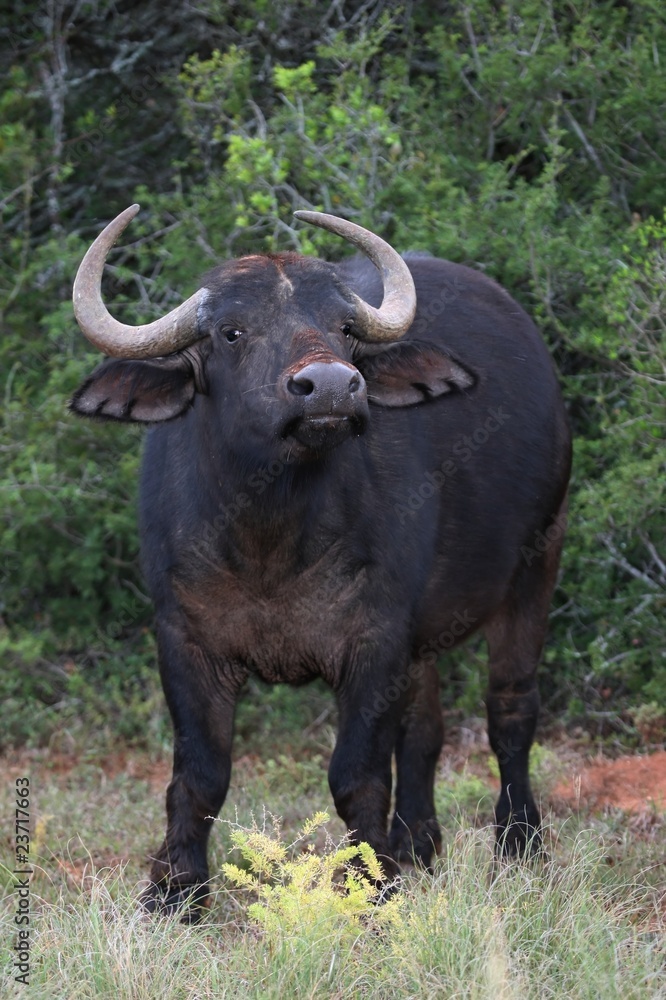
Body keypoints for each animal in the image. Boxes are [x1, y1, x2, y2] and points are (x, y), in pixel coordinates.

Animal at [70, 205, 571, 915]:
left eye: (343, 329)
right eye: (231, 331)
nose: (331, 387)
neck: (269, 536)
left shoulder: (375, 639)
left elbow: (356, 775)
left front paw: (371, 886)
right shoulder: (184, 638)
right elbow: (199, 774)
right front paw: (175, 891)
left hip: (538, 559)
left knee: (510, 712)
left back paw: (518, 841)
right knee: (425, 726)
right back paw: (417, 844)